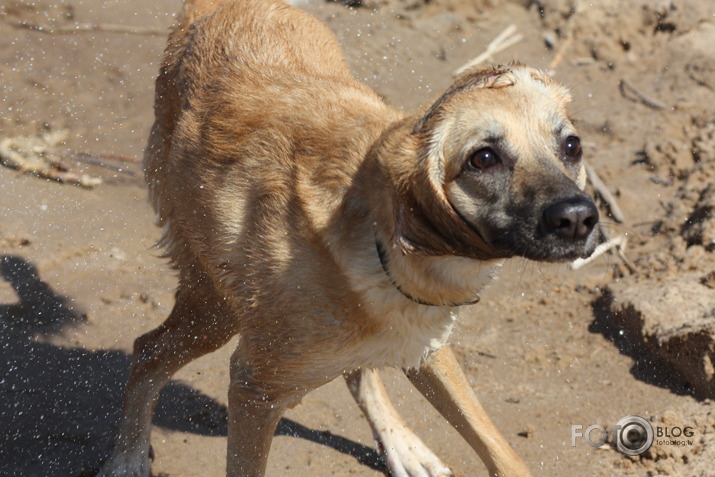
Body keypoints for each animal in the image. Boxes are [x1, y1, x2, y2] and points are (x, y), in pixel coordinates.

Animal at [98, 0, 600, 476]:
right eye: (484, 158)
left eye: (572, 146)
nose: (579, 218)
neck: (382, 235)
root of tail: (216, 9)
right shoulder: (255, 389)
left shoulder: (429, 346)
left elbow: (501, 452)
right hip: (214, 309)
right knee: (147, 352)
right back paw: (127, 459)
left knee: (360, 372)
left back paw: (402, 445)